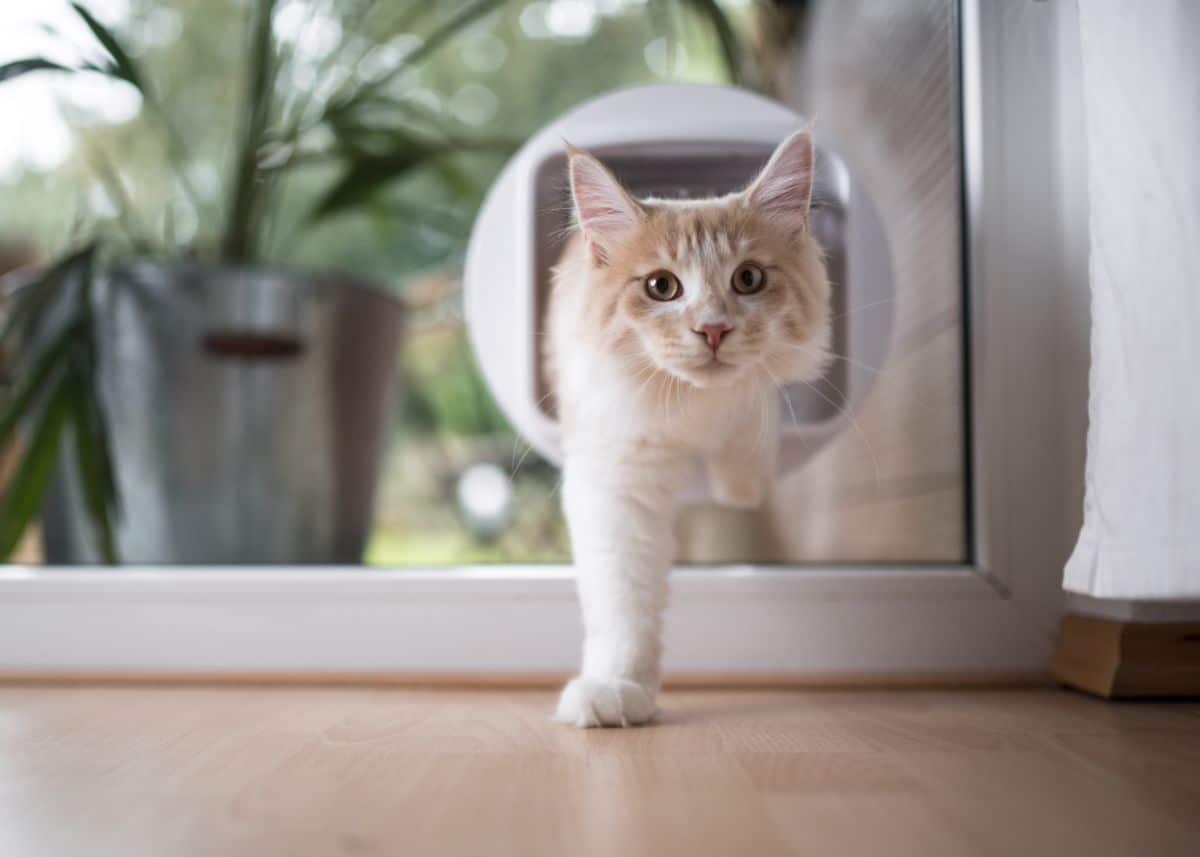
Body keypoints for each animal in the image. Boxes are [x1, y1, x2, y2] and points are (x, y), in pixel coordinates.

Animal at [547, 130, 835, 724]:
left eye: (748, 279)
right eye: (662, 286)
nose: (713, 329)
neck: (695, 410)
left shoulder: (754, 414)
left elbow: (747, 459)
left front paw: (741, 488)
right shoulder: (617, 482)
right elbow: (624, 602)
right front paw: (615, 688)